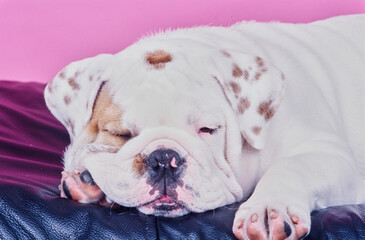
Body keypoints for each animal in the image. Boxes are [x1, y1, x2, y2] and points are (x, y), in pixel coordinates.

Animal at [44, 14, 364, 239]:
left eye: (207, 130)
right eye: (121, 134)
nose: (163, 159)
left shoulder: (331, 154)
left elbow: (291, 167)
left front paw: (268, 209)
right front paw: (88, 182)